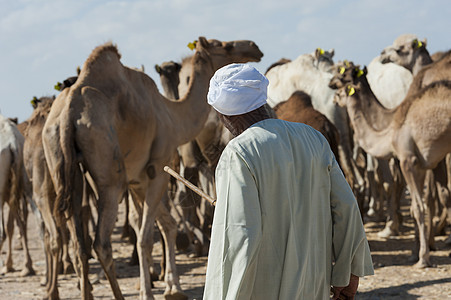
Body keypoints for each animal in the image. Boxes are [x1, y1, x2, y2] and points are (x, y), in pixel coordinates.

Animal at [41, 36, 264, 298]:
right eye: (223, 45)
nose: (254, 48)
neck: (172, 114)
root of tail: (69, 111)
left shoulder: (138, 180)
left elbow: (164, 225)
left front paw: (171, 286)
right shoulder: (157, 170)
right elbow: (146, 237)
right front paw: (153, 291)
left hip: (62, 161)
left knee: (80, 245)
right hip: (109, 171)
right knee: (101, 243)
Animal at [328, 61, 451, 268]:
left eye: (343, 75)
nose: (333, 94)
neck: (389, 128)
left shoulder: (407, 160)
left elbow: (419, 205)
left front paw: (422, 257)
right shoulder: (425, 163)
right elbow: (428, 201)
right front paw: (415, 251)